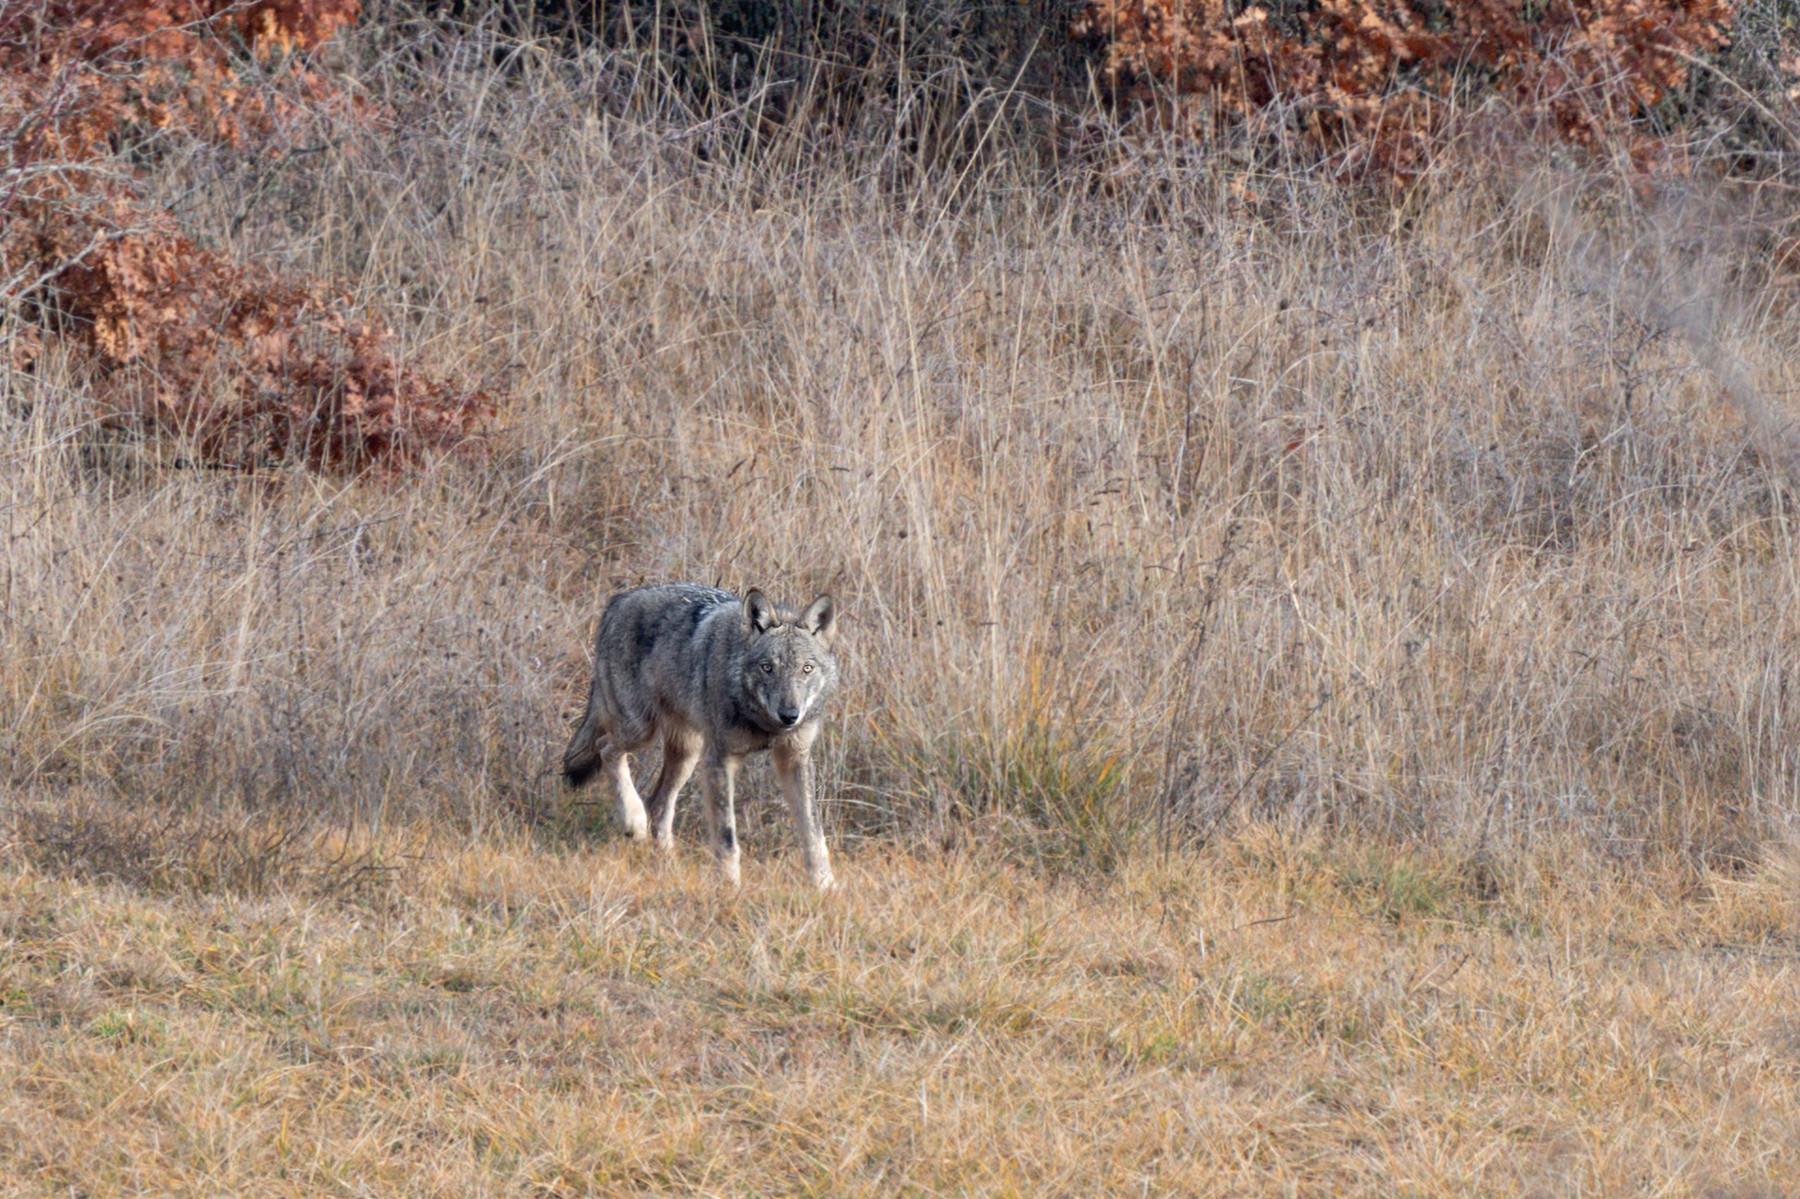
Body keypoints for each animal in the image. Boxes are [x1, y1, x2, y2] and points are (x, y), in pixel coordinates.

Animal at [562, 583, 840, 889]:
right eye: (767, 667)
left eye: (806, 668)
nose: (790, 715)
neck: (762, 722)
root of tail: (620, 599)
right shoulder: (720, 758)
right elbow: (726, 835)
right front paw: (729, 886)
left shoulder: (794, 759)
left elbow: (813, 833)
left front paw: (825, 886)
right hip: (641, 731)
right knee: (606, 749)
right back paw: (633, 821)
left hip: (687, 753)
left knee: (658, 803)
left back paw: (669, 864)